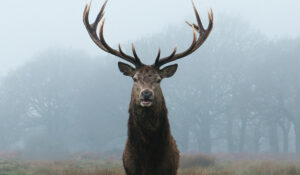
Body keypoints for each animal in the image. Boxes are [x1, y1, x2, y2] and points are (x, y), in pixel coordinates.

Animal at [83, 0, 212, 174]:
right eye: (135, 78)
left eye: (158, 80)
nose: (146, 94)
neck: (148, 160)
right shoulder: (130, 169)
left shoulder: (169, 169)